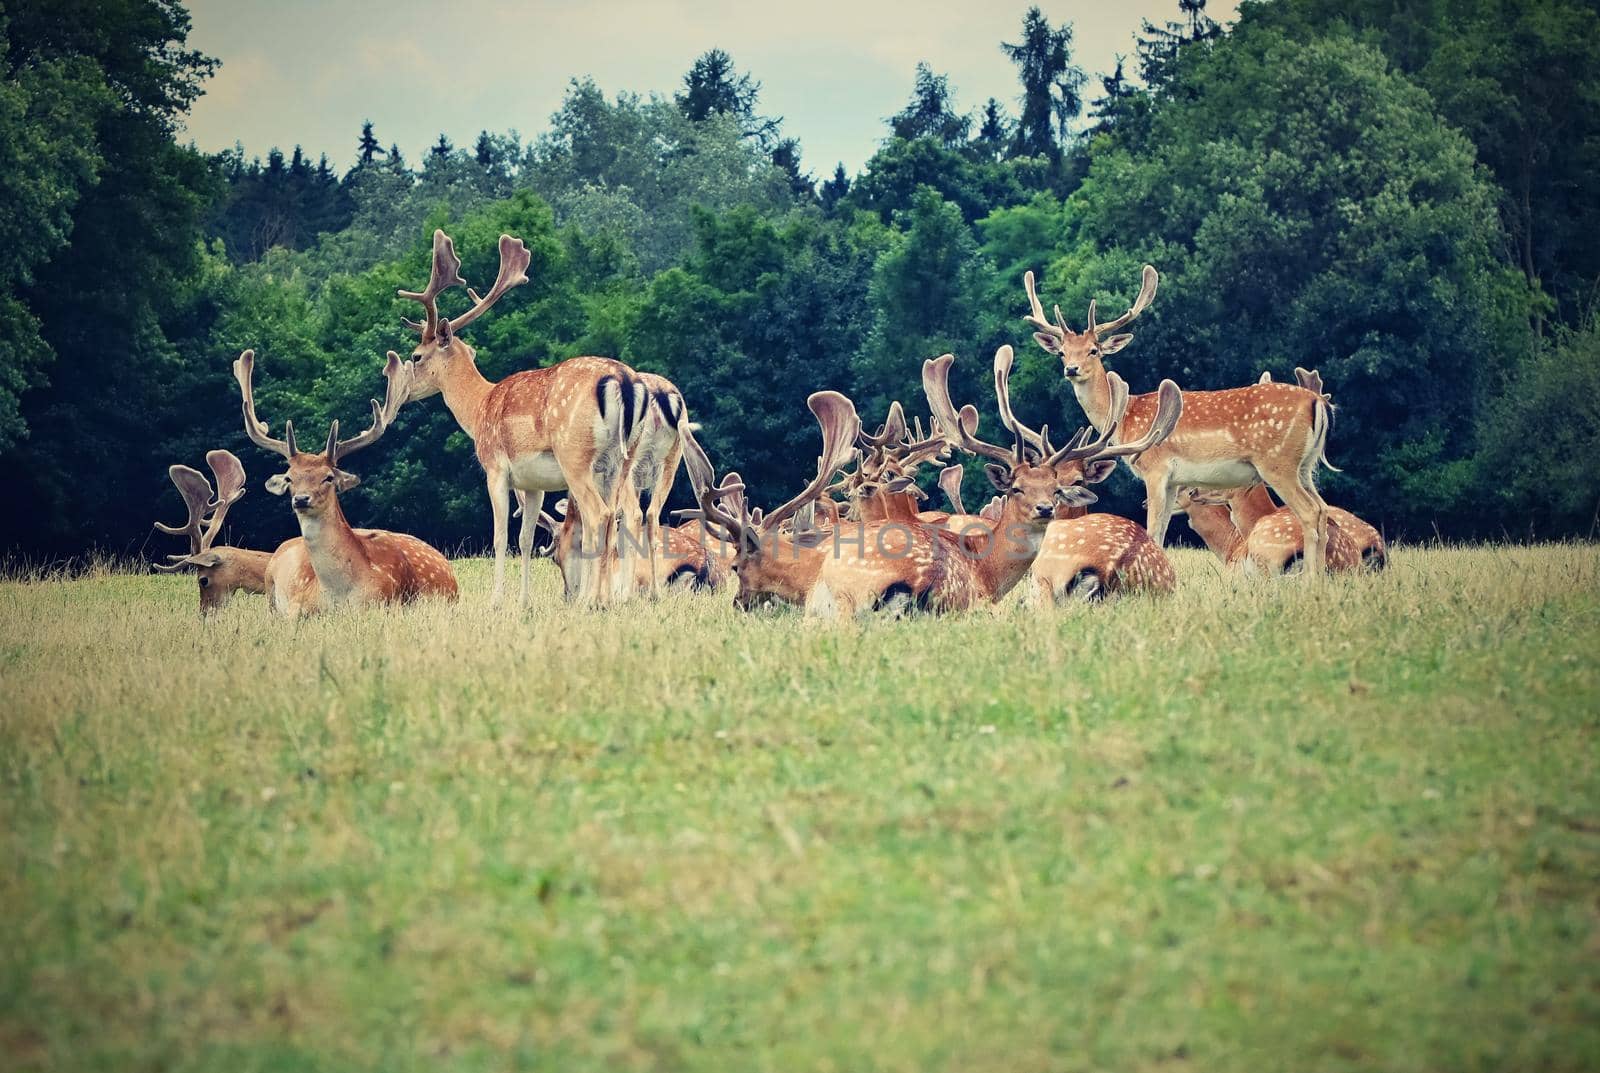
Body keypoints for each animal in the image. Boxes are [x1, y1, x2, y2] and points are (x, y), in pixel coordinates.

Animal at [236, 348, 464, 617]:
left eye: (328, 477)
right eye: (290, 477)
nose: (301, 499)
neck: (338, 594)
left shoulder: (386, 601)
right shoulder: (296, 606)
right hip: (269, 582)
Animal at [1024, 265, 1337, 575]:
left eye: (1094, 349)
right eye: (1062, 352)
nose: (1071, 369)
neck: (1126, 418)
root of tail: (1318, 402)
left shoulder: (1155, 469)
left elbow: (1152, 532)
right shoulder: (1175, 480)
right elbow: (1161, 534)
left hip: (1277, 463)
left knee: (1309, 511)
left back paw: (1310, 579)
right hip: (1305, 466)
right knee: (1322, 509)